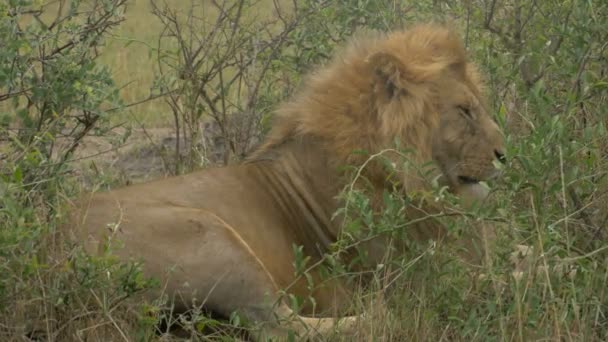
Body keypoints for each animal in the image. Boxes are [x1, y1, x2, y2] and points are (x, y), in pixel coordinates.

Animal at [69, 23, 506, 340]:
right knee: (282, 327)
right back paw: (381, 316)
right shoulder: (419, 272)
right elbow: (497, 275)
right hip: (212, 236)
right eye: (465, 110)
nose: (506, 155)